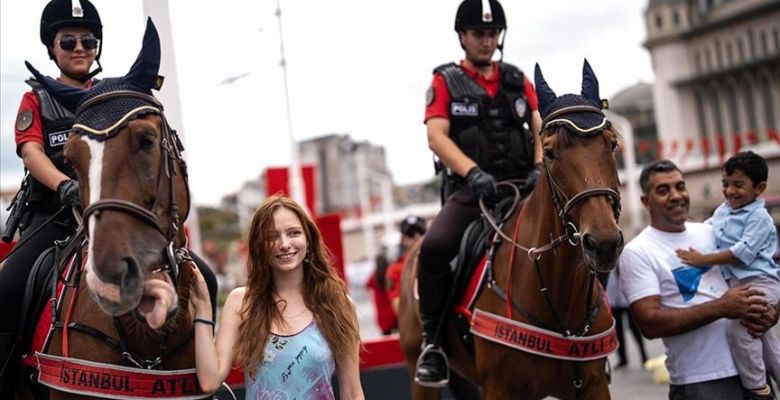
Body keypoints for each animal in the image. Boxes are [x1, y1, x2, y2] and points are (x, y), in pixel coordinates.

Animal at [400, 60, 624, 400]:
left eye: (611, 144)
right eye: (550, 153)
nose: (603, 243)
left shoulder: (594, 386)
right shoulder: (500, 389)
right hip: (419, 374)